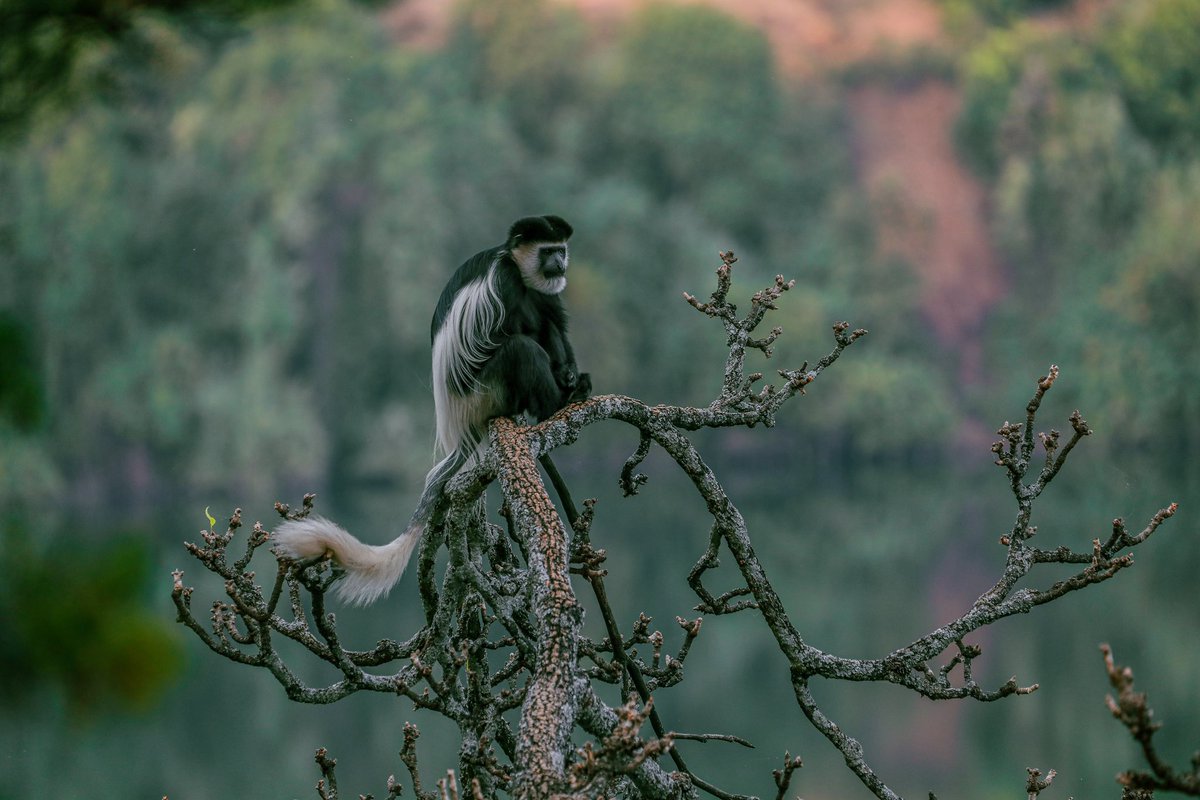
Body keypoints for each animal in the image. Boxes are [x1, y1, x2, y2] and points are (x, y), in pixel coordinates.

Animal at [272, 215, 589, 605]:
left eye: (561, 250)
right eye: (547, 252)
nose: (559, 264)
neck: (516, 264)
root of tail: (462, 422)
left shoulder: (547, 292)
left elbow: (554, 322)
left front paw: (570, 372)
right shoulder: (504, 282)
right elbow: (503, 335)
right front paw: (562, 384)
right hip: (485, 391)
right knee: (520, 348)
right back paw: (554, 404)